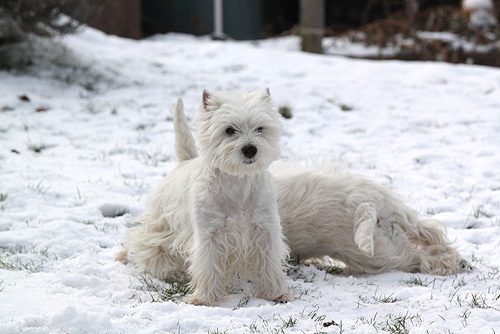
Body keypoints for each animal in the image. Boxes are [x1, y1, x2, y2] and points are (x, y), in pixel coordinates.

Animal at [120, 88, 292, 306]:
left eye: (260, 128)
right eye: (229, 130)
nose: (250, 149)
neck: (237, 183)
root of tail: (184, 162)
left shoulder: (266, 228)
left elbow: (270, 262)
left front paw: (275, 293)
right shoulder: (209, 234)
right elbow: (207, 264)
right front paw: (203, 298)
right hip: (158, 226)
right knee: (141, 243)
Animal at [171, 102, 468, 276]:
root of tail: (368, 209)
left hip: (384, 242)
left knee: (423, 253)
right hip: (391, 223)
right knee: (429, 236)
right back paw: (459, 261)